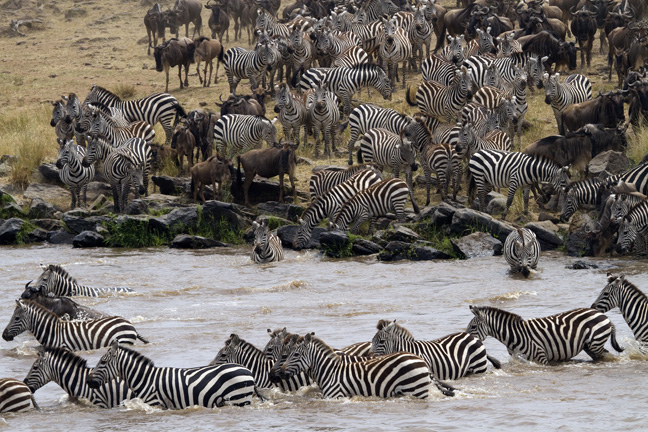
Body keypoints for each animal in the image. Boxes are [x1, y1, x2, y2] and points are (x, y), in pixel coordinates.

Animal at [87, 341, 255, 409]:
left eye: (102, 361)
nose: (88, 381)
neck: (145, 379)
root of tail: (247, 370)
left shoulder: (155, 403)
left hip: (239, 399)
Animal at [273, 332, 455, 398]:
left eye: (294, 355)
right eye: (286, 355)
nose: (276, 375)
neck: (329, 372)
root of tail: (420, 359)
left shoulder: (335, 396)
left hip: (416, 390)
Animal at [466, 305, 623, 364]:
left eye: (473, 327)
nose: (467, 339)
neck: (514, 335)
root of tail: (603, 315)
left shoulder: (540, 357)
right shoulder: (518, 359)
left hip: (596, 343)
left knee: (607, 355)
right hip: (589, 346)